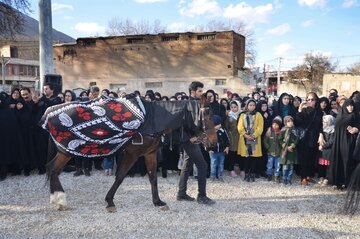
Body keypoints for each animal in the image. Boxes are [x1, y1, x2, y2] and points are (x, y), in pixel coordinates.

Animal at [42, 94, 217, 212]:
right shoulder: (132, 154)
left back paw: (57, 200)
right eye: (207, 116)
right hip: (66, 151)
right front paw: (110, 201)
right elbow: (120, 176)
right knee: (53, 169)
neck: (153, 119)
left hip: (64, 152)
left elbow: (153, 177)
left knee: (52, 169)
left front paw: (157, 201)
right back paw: (59, 200)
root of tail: (48, 113)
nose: (214, 143)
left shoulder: (150, 153)